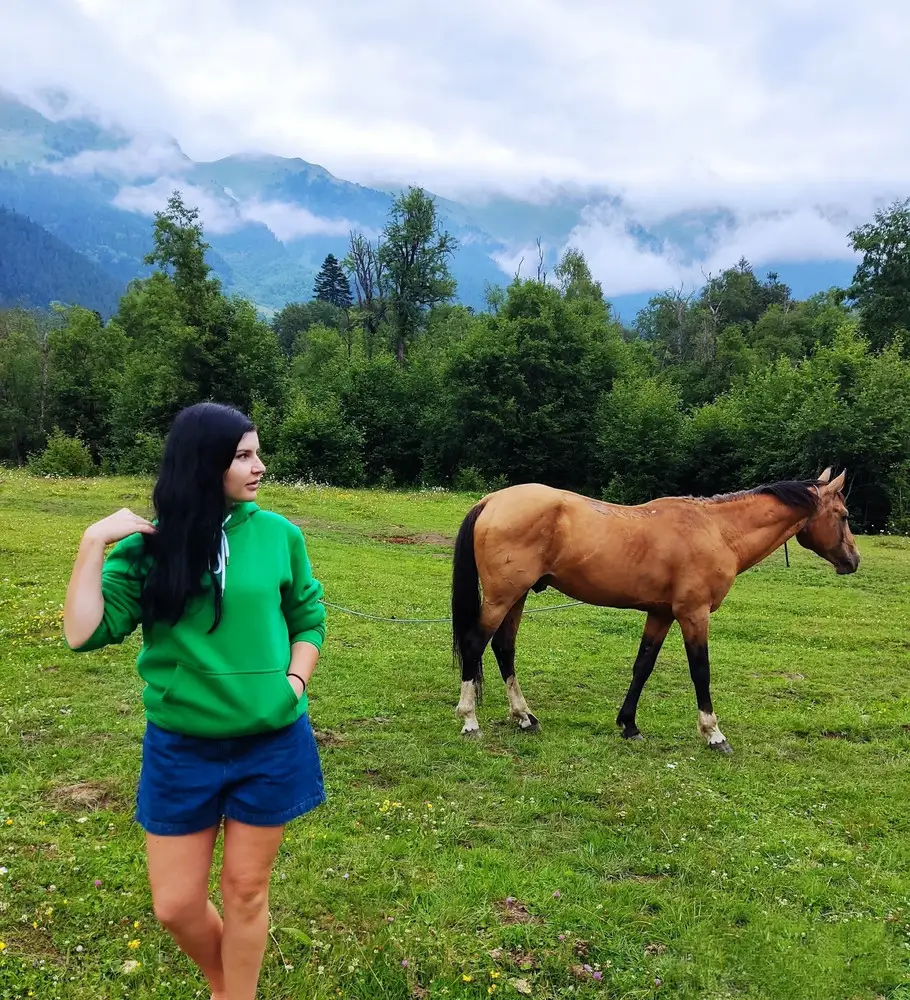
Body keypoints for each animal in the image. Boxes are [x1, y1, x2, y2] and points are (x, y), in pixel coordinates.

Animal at [450, 468, 864, 752]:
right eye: (844, 514)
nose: (853, 560)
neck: (716, 530)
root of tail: (491, 501)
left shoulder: (662, 614)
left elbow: (643, 666)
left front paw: (629, 725)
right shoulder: (694, 613)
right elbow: (700, 671)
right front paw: (713, 733)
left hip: (517, 597)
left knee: (504, 648)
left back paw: (524, 717)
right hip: (503, 597)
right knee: (474, 644)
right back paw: (470, 719)